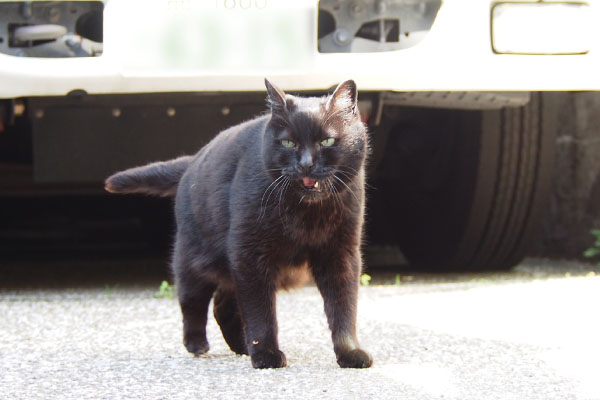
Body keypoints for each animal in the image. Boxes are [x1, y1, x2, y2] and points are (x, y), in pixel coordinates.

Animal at [105, 79, 372, 368]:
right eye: (288, 142)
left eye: (327, 141)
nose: (306, 164)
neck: (306, 212)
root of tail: (192, 160)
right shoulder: (250, 255)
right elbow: (260, 312)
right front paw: (266, 354)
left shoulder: (340, 254)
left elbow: (343, 306)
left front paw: (350, 352)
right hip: (192, 259)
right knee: (192, 301)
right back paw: (197, 343)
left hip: (229, 269)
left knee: (222, 305)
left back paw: (242, 345)